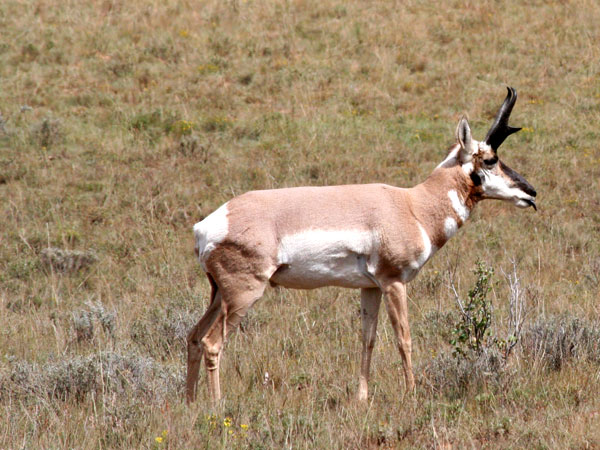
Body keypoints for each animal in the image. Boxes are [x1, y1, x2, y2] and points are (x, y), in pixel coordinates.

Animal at [185, 87, 536, 404]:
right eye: (490, 159)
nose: (531, 192)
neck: (413, 205)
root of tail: (207, 225)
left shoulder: (370, 288)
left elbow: (367, 339)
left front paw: (362, 398)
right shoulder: (394, 282)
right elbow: (403, 338)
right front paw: (412, 394)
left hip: (219, 295)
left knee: (194, 337)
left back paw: (190, 402)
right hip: (243, 294)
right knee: (212, 343)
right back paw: (216, 406)